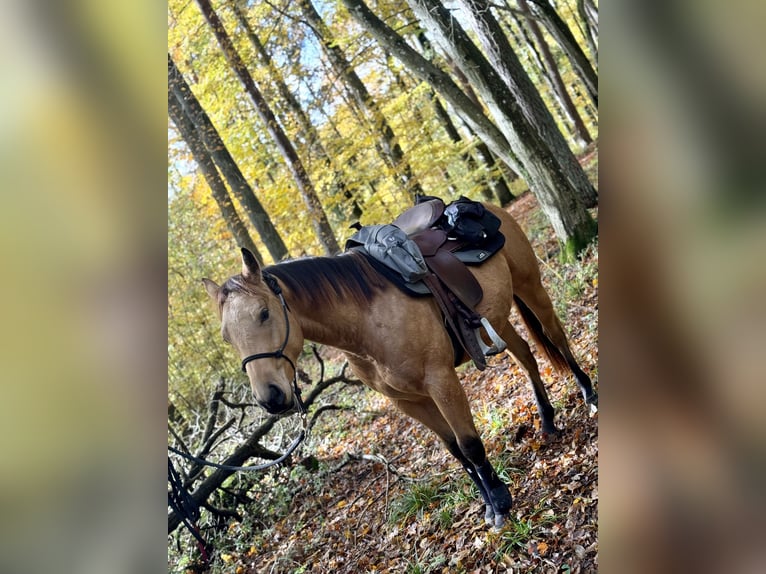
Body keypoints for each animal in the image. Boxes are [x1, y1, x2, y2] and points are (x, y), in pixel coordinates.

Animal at [201, 202, 597, 526]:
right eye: (226, 337)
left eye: (264, 313)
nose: (270, 398)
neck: (365, 318)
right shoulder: (407, 400)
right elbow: (456, 452)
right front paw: (487, 501)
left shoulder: (441, 381)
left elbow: (470, 444)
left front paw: (500, 503)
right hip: (498, 317)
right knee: (526, 356)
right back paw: (547, 421)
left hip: (530, 287)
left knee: (557, 337)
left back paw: (589, 394)